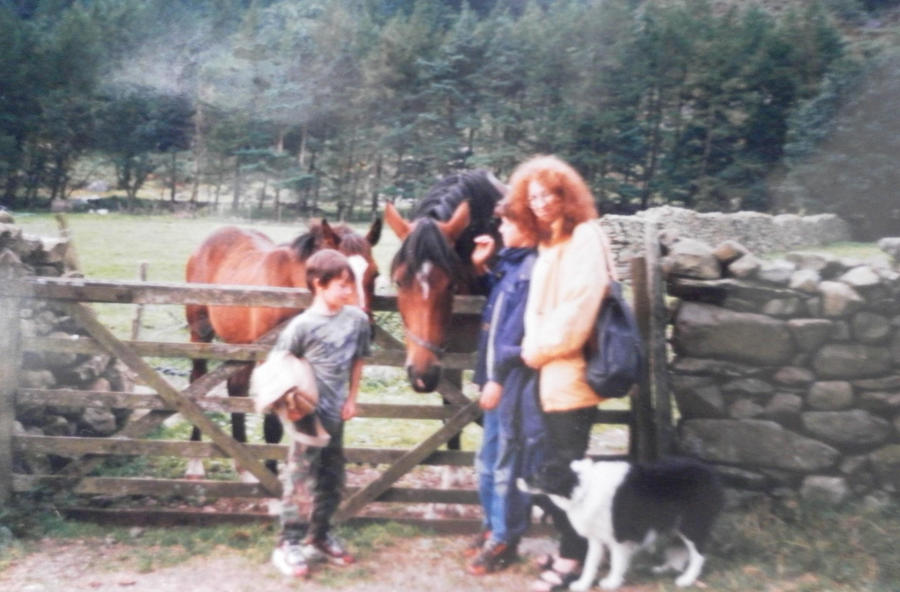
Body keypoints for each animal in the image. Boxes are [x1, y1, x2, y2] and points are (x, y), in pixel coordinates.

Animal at [183, 217, 380, 476]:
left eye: (375, 274)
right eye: (339, 278)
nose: (364, 329)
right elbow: (273, 424)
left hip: (241, 345)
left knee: (236, 388)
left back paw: (243, 465)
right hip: (201, 335)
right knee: (198, 381)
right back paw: (195, 460)